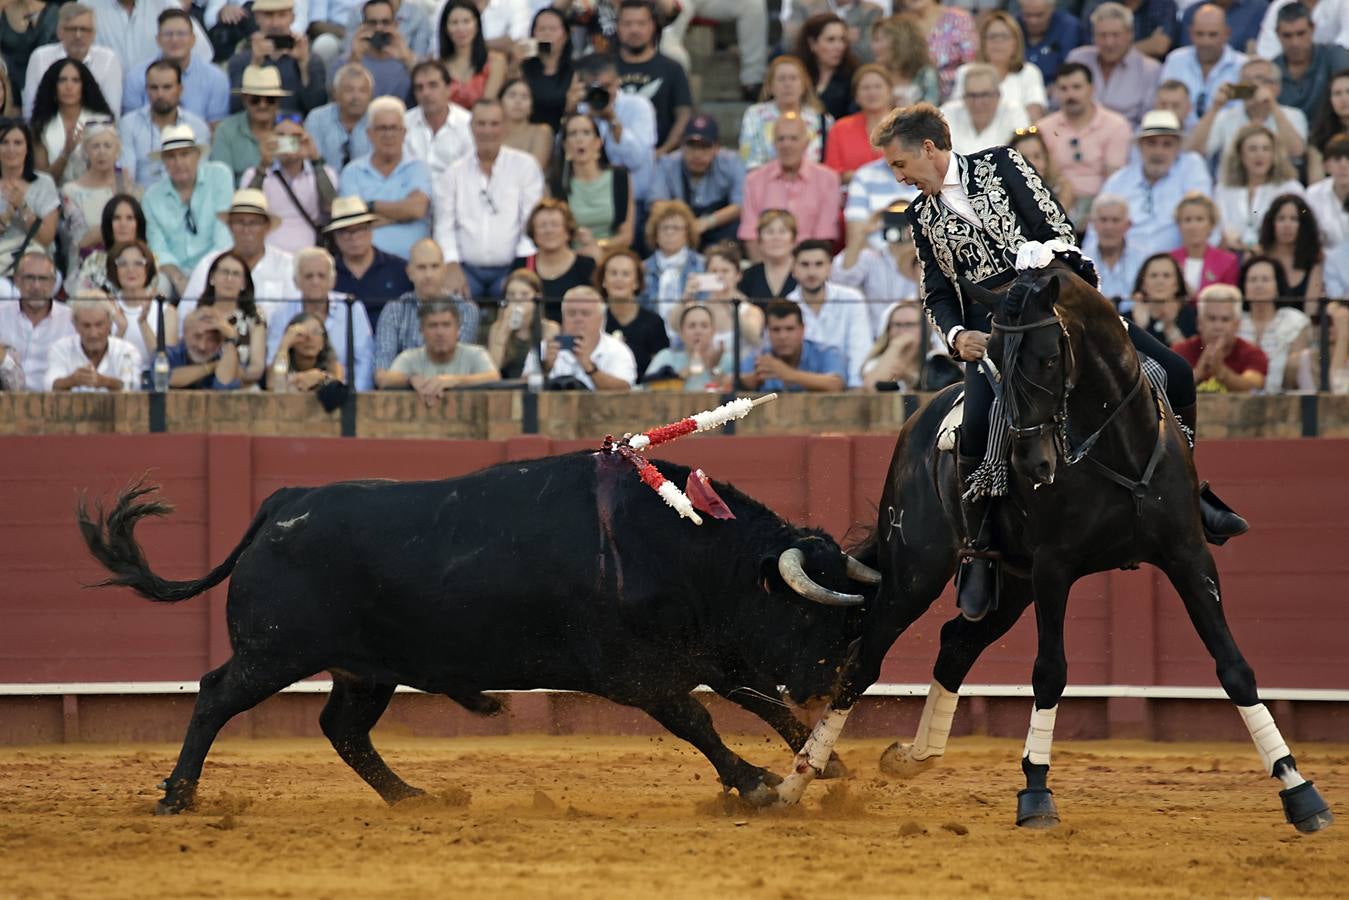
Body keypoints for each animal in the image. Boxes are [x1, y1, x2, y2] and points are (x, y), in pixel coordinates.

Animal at [78, 453, 879, 814]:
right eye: (809, 610)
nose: (836, 681)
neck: (681, 543)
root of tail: (283, 501)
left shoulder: (701, 650)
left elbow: (754, 699)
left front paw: (826, 764)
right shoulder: (635, 673)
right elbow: (700, 720)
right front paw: (757, 784)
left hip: (367, 668)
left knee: (342, 727)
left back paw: (414, 797)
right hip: (272, 653)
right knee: (215, 696)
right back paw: (178, 796)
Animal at [766, 256, 1332, 836]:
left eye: (1047, 357)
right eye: (992, 359)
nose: (1032, 464)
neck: (1113, 446)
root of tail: (916, 422)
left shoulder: (1187, 554)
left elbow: (1234, 666)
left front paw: (1299, 789)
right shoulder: (1054, 568)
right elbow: (1050, 671)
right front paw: (1036, 793)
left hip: (1011, 587)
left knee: (955, 643)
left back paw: (910, 757)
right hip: (917, 574)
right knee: (865, 660)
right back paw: (794, 782)